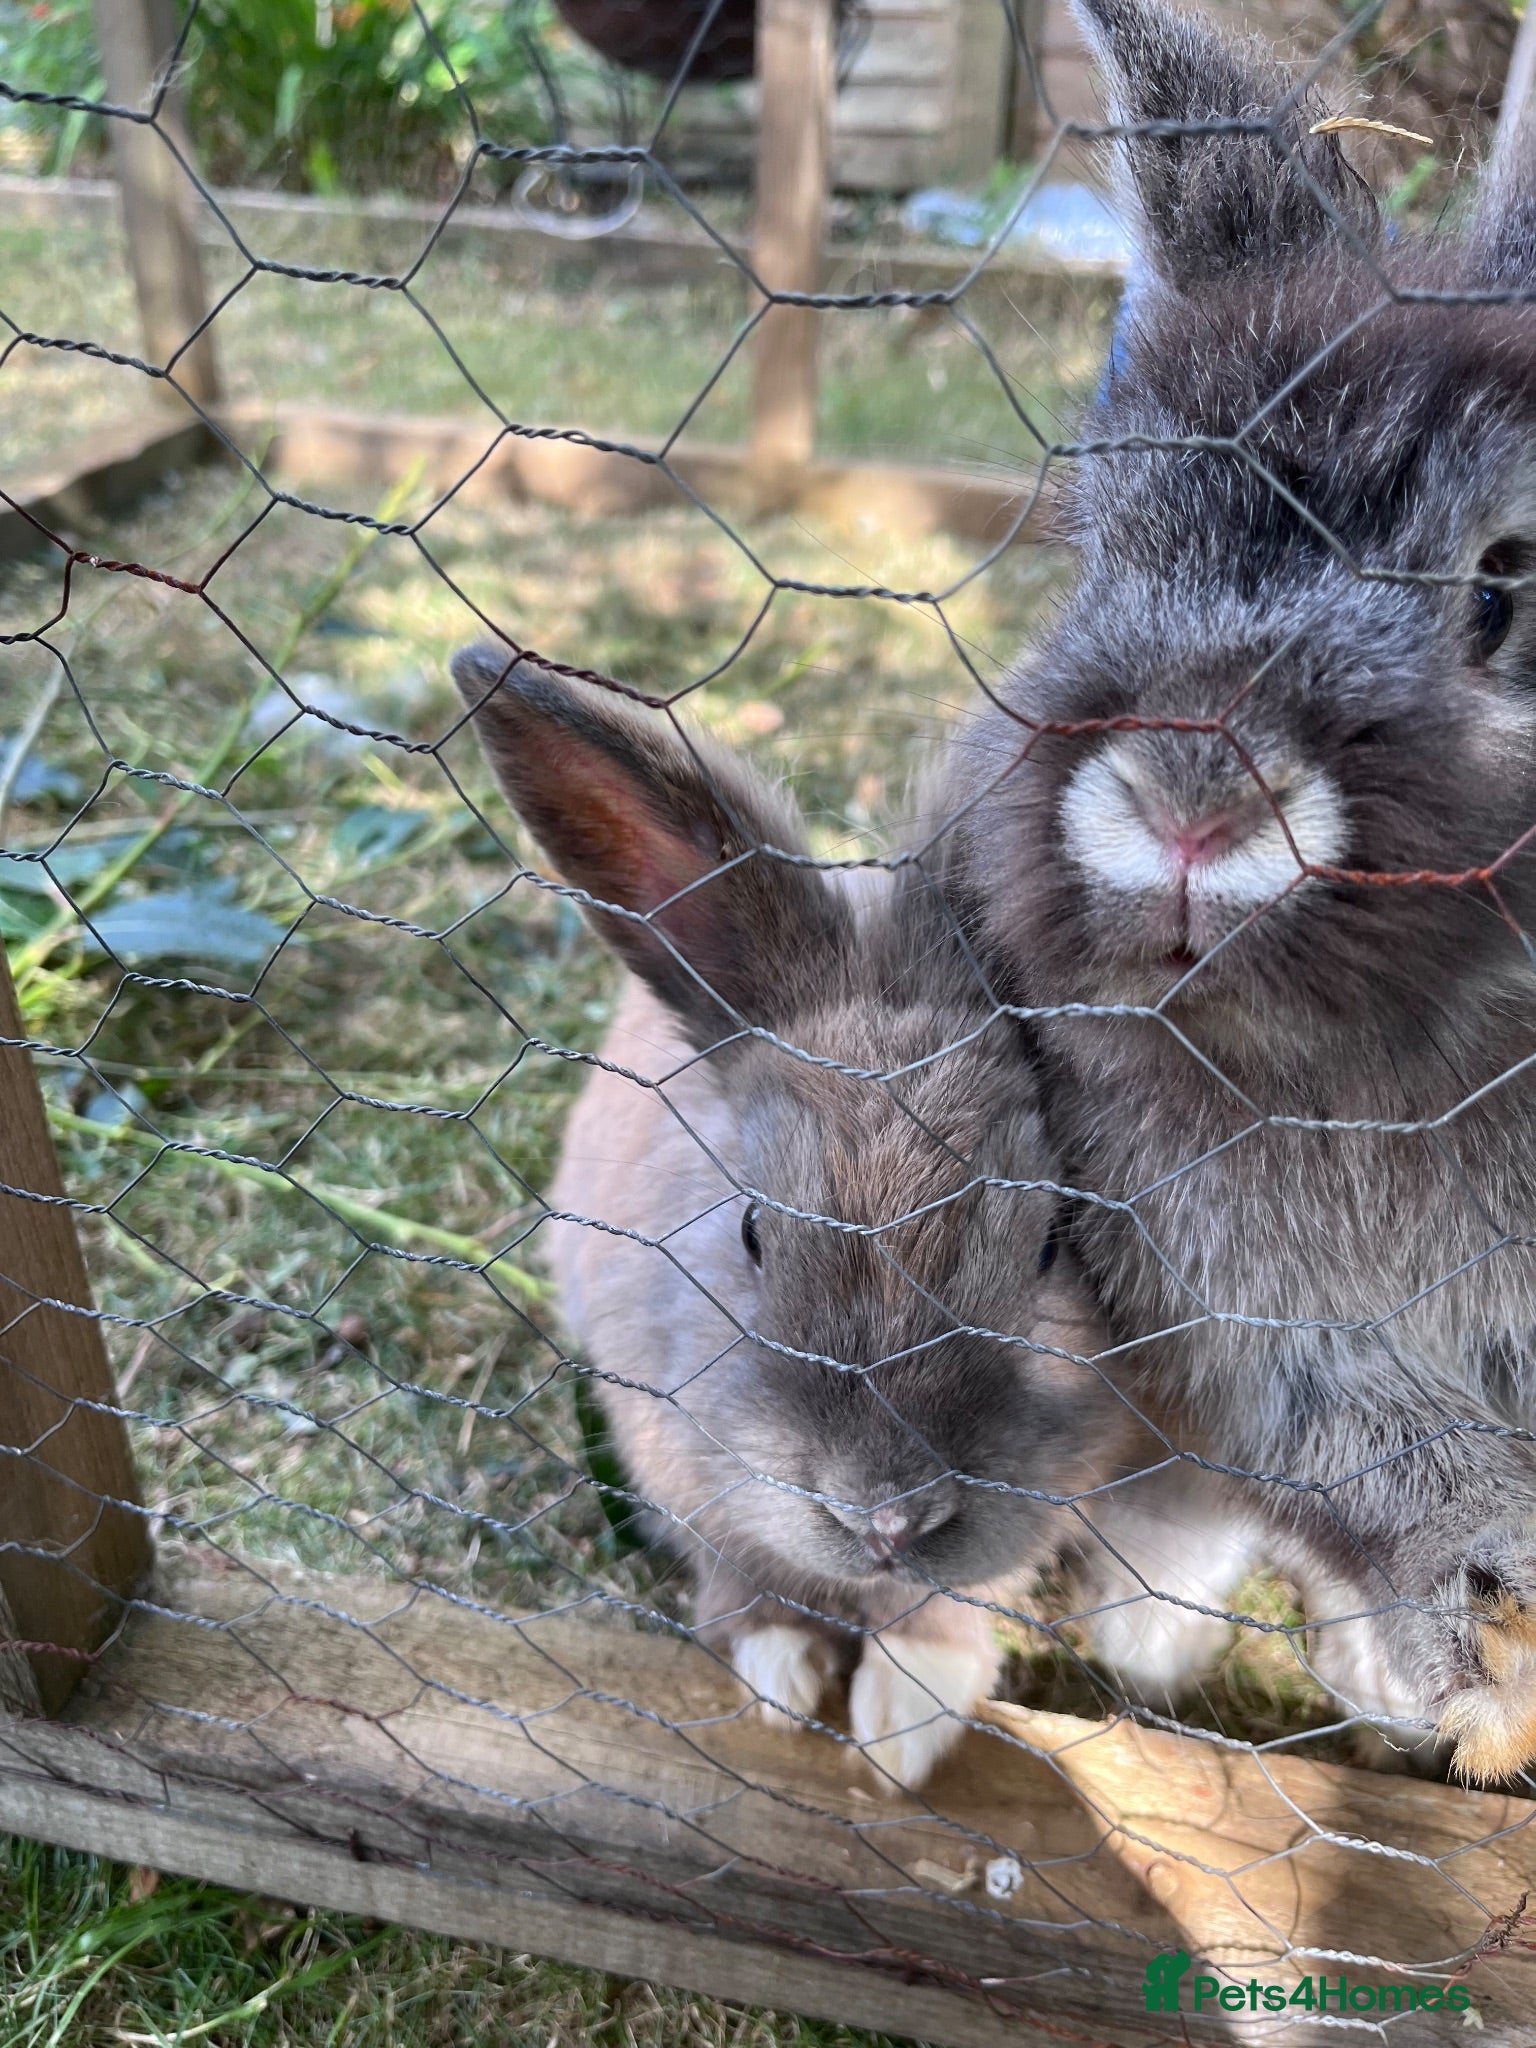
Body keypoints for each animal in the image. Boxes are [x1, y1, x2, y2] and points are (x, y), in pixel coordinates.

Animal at [450, 644, 1141, 1790]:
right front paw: (783, 1674)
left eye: (1053, 1241)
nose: (888, 1513)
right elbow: (744, 1578)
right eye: (751, 1233)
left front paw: (903, 1722)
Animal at [933, 0, 1536, 1780]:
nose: (1191, 804)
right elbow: (1388, 1471)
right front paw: (1481, 1646)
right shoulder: (1249, 1333)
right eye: (1110, 550)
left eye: (1506, 591)